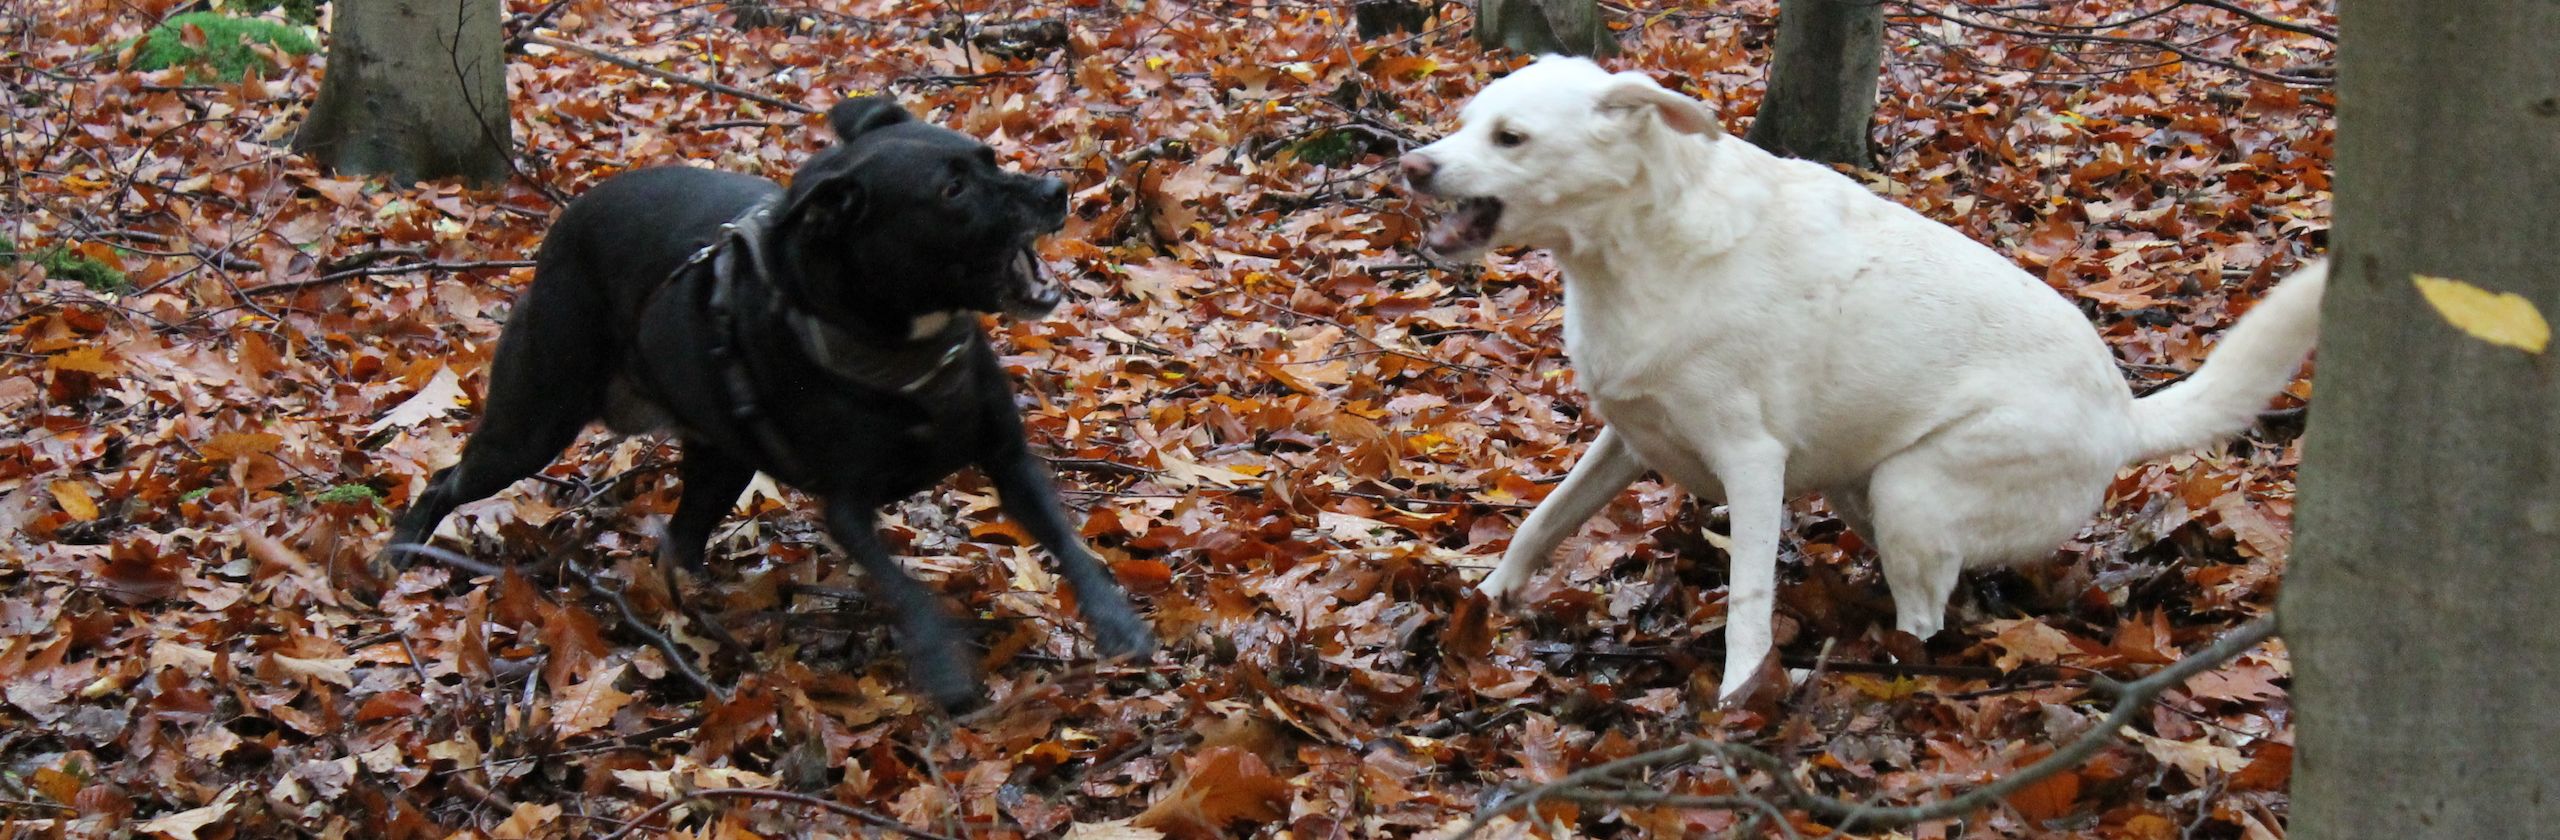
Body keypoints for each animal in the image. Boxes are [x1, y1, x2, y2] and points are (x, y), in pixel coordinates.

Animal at [384, 98, 1157, 711]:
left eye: (988, 156)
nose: (1056, 188)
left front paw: (1118, 623)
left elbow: (1070, 544)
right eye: (953, 189)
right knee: (448, 479)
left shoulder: (1008, 455)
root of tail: (566, 221)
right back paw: (402, 550)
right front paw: (942, 662)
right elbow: (908, 590)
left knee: (680, 540)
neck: (900, 346)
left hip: (718, 458)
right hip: (534, 420)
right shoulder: (847, 507)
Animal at [1413, 57, 2334, 701]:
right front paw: (1485, 599)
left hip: (1910, 488)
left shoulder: (1753, 463)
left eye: (1510, 137)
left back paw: (1887, 663)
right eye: (1465, 124)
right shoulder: (1624, 439)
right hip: (1866, 488)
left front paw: (1740, 696)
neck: (1634, 242)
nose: (1413, 166)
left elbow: (1749, 598)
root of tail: (2125, 413)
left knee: (1924, 619)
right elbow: (1541, 522)